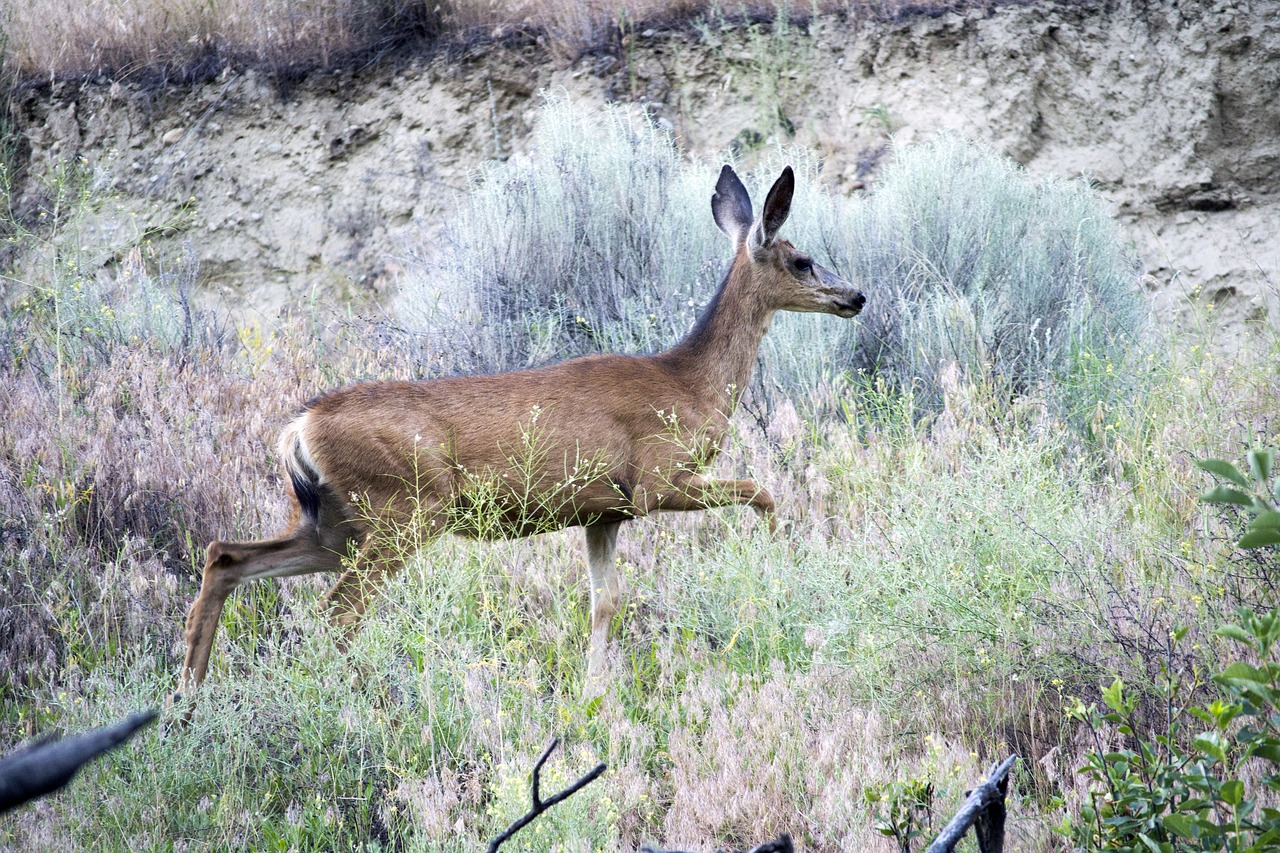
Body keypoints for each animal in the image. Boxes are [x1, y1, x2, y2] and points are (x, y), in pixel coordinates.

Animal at [177, 163, 860, 696]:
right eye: (802, 260)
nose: (855, 296)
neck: (689, 387)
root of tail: (299, 427)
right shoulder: (655, 481)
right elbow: (762, 490)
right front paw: (782, 559)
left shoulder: (602, 511)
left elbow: (605, 601)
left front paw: (593, 693)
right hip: (403, 510)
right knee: (336, 613)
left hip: (336, 522)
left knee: (225, 556)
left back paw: (191, 697)